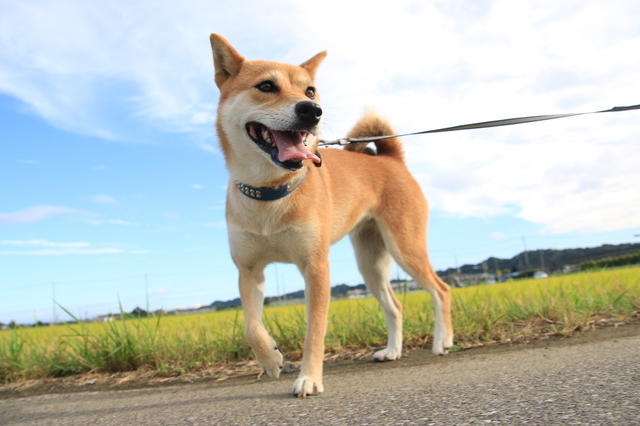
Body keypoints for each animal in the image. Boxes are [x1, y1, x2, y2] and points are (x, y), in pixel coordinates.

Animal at [208, 32, 452, 396]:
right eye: (266, 86)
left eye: (310, 90)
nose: (312, 110)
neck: (271, 193)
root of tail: (391, 160)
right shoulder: (248, 270)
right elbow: (252, 327)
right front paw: (270, 359)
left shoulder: (315, 266)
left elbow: (315, 332)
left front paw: (308, 378)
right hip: (370, 262)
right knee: (395, 306)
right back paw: (392, 350)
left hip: (405, 247)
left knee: (441, 289)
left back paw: (443, 341)